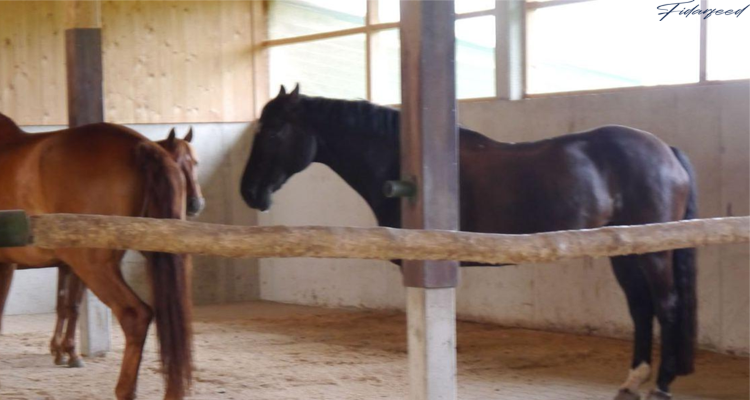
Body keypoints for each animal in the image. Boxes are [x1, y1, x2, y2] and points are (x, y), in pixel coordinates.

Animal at [240, 85, 698, 400]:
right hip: (625, 250)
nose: (249, 192)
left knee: (666, 305)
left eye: (275, 131)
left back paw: (660, 385)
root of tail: (666, 151)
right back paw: (633, 381)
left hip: (653, 253)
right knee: (641, 308)